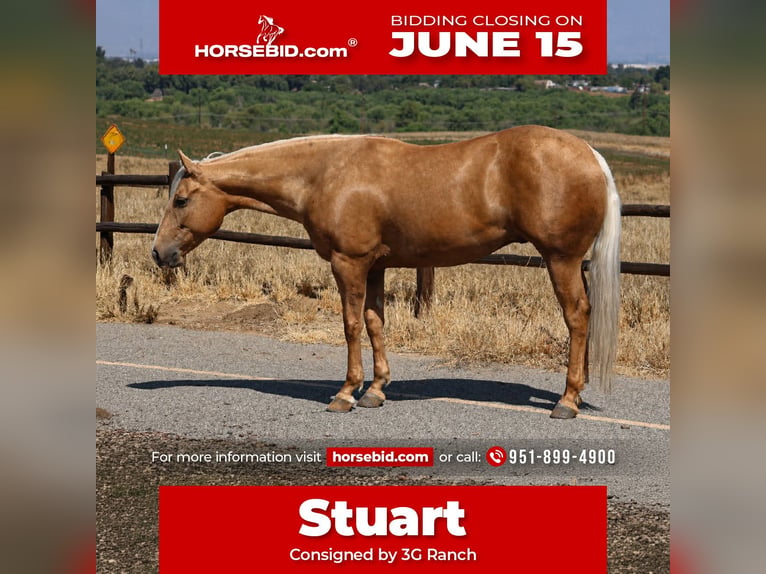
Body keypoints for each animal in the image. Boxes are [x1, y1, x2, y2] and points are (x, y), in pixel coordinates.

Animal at [152, 126, 621, 419]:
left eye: (181, 200)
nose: (159, 253)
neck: (324, 173)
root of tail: (590, 154)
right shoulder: (375, 265)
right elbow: (375, 322)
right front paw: (376, 390)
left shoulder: (349, 262)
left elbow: (350, 325)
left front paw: (346, 393)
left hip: (560, 259)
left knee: (578, 316)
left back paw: (567, 400)